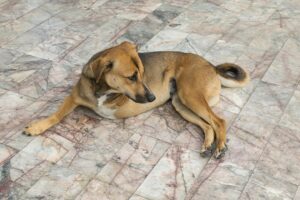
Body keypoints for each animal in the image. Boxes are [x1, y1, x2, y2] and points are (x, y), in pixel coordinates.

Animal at [22, 41, 248, 159]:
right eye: (131, 77)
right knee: (207, 125)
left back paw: (220, 146)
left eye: (141, 73)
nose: (152, 97)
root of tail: (212, 66)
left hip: (190, 95)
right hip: (180, 103)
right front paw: (37, 126)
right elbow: (56, 116)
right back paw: (208, 144)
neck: (101, 88)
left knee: (219, 121)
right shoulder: (74, 97)